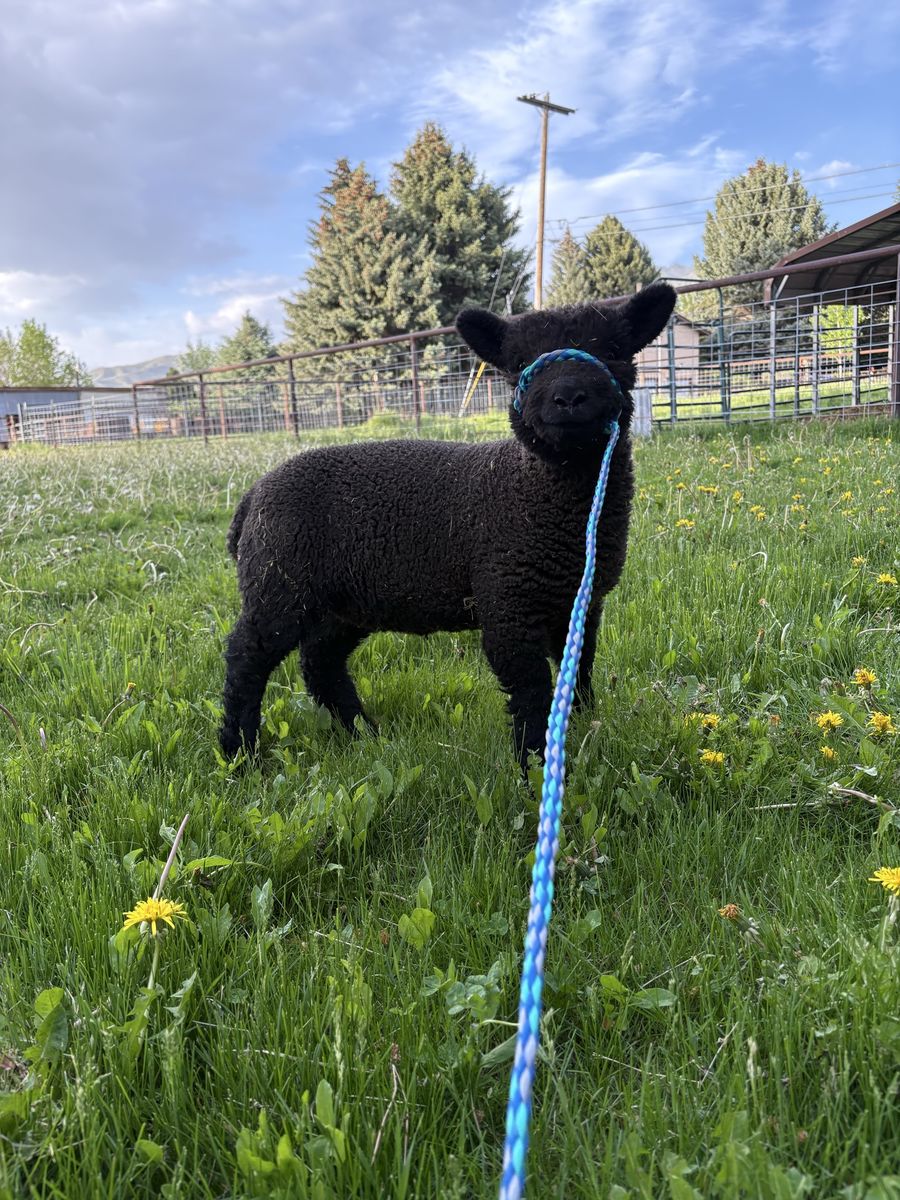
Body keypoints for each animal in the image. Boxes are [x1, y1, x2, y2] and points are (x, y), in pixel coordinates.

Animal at [220, 282, 677, 768]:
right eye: (519, 363)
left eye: (613, 351)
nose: (568, 397)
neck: (537, 496)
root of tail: (252, 497)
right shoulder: (507, 600)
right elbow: (531, 688)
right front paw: (536, 761)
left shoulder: (582, 601)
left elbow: (581, 668)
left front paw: (583, 727)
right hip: (279, 581)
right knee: (246, 657)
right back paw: (239, 753)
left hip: (345, 598)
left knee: (320, 661)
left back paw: (363, 733)